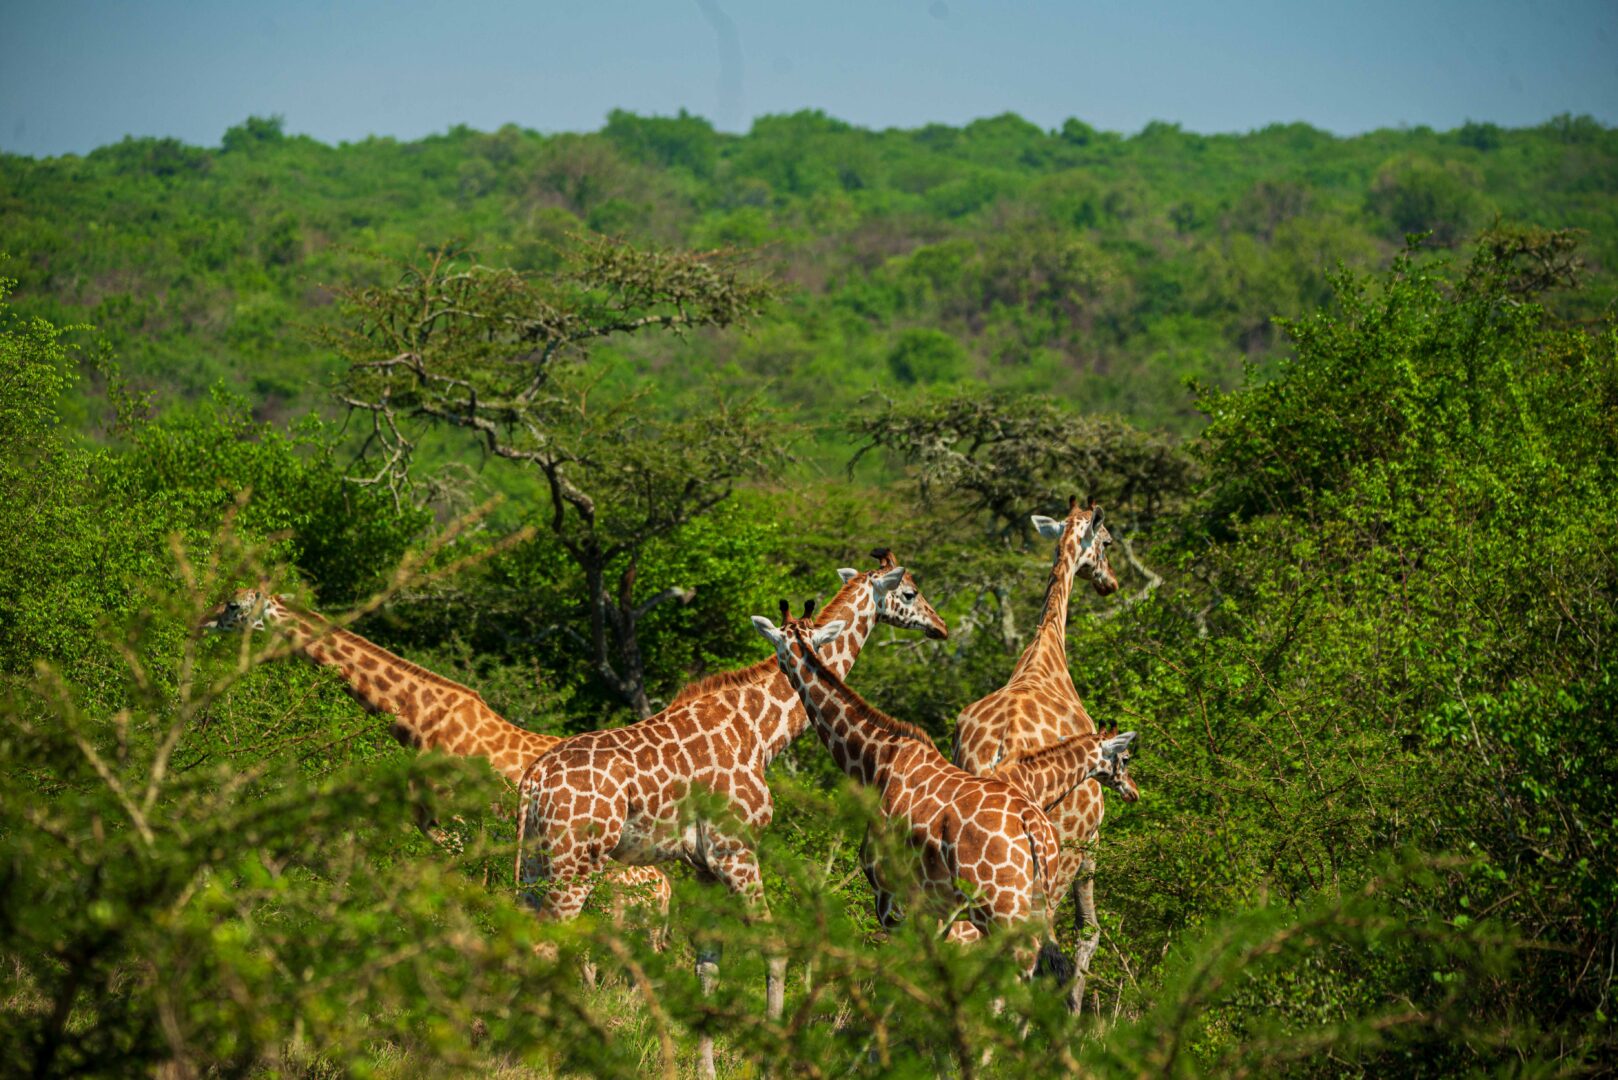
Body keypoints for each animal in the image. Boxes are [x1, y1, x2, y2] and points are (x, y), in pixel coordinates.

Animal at [515, 550, 947, 1078]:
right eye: (909, 592)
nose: (941, 627)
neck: (761, 729)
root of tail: (533, 781)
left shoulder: (702, 865)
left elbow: (706, 965)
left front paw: (705, 1069)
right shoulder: (736, 850)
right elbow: (775, 947)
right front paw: (773, 1059)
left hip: (536, 862)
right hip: (577, 861)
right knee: (549, 944)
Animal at [752, 603, 1138, 985]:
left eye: (777, 647)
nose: (1133, 792)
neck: (875, 758)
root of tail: (1032, 827)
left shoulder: (889, 893)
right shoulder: (935, 905)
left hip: (1000, 905)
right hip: (1035, 898)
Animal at [950, 496, 1130, 1011]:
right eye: (1108, 541)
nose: (1110, 582)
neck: (1045, 651)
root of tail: (1002, 746)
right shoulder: (1091, 840)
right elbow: (1088, 930)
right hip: (1052, 856)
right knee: (1041, 941)